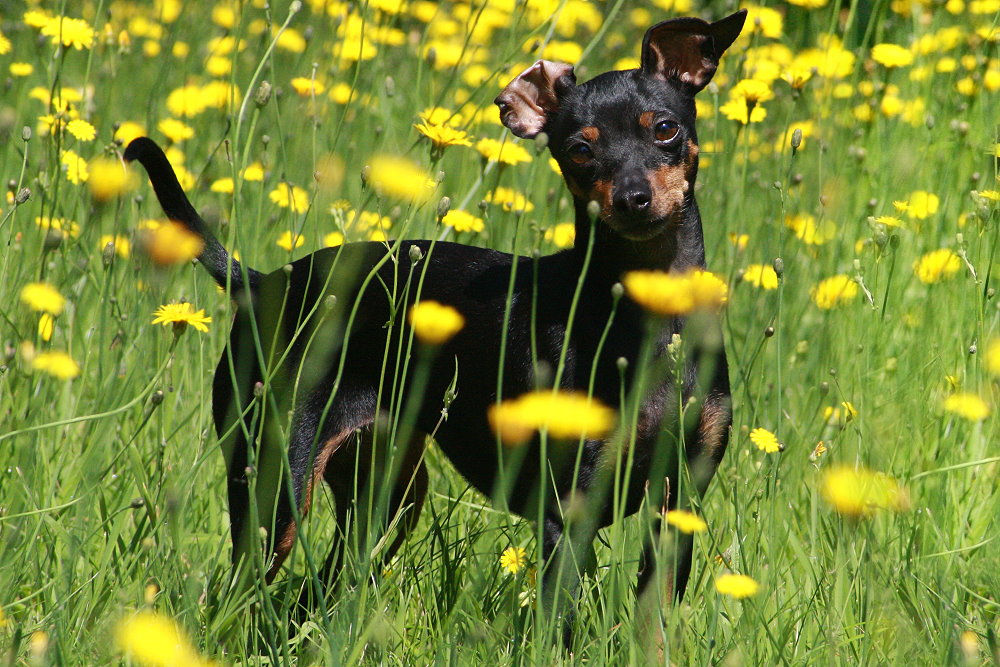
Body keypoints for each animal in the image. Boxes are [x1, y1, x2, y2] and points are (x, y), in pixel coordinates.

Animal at [123, 10, 744, 636]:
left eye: (664, 129)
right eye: (578, 150)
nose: (632, 198)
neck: (653, 318)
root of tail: (266, 284)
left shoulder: (678, 506)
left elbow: (655, 630)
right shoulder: (568, 510)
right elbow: (558, 630)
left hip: (387, 497)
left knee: (318, 592)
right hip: (276, 486)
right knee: (237, 595)